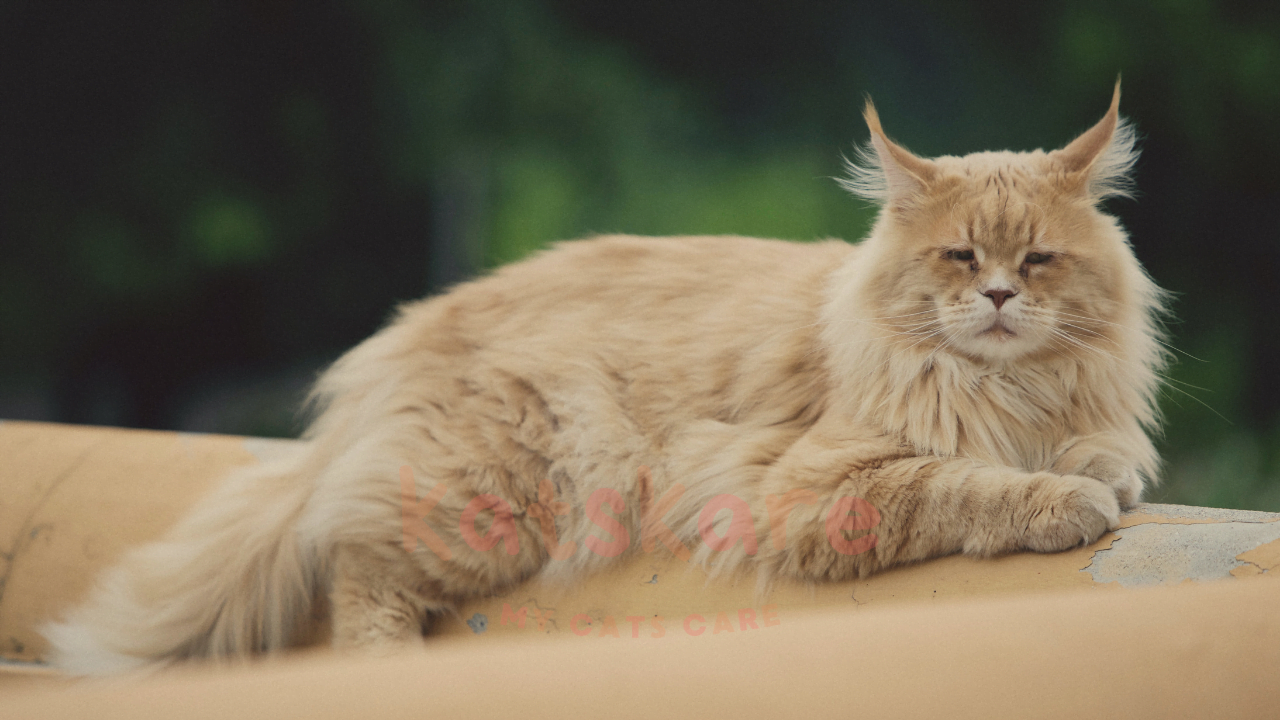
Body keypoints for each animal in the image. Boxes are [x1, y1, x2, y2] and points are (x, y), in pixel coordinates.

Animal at [40, 81, 1167, 671]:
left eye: (1038, 262)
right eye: (958, 259)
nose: (998, 299)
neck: (1007, 387)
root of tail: (407, 336)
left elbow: (1092, 450)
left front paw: (1094, 468)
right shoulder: (811, 486)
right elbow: (965, 484)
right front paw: (1061, 498)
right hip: (496, 493)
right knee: (358, 564)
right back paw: (387, 669)